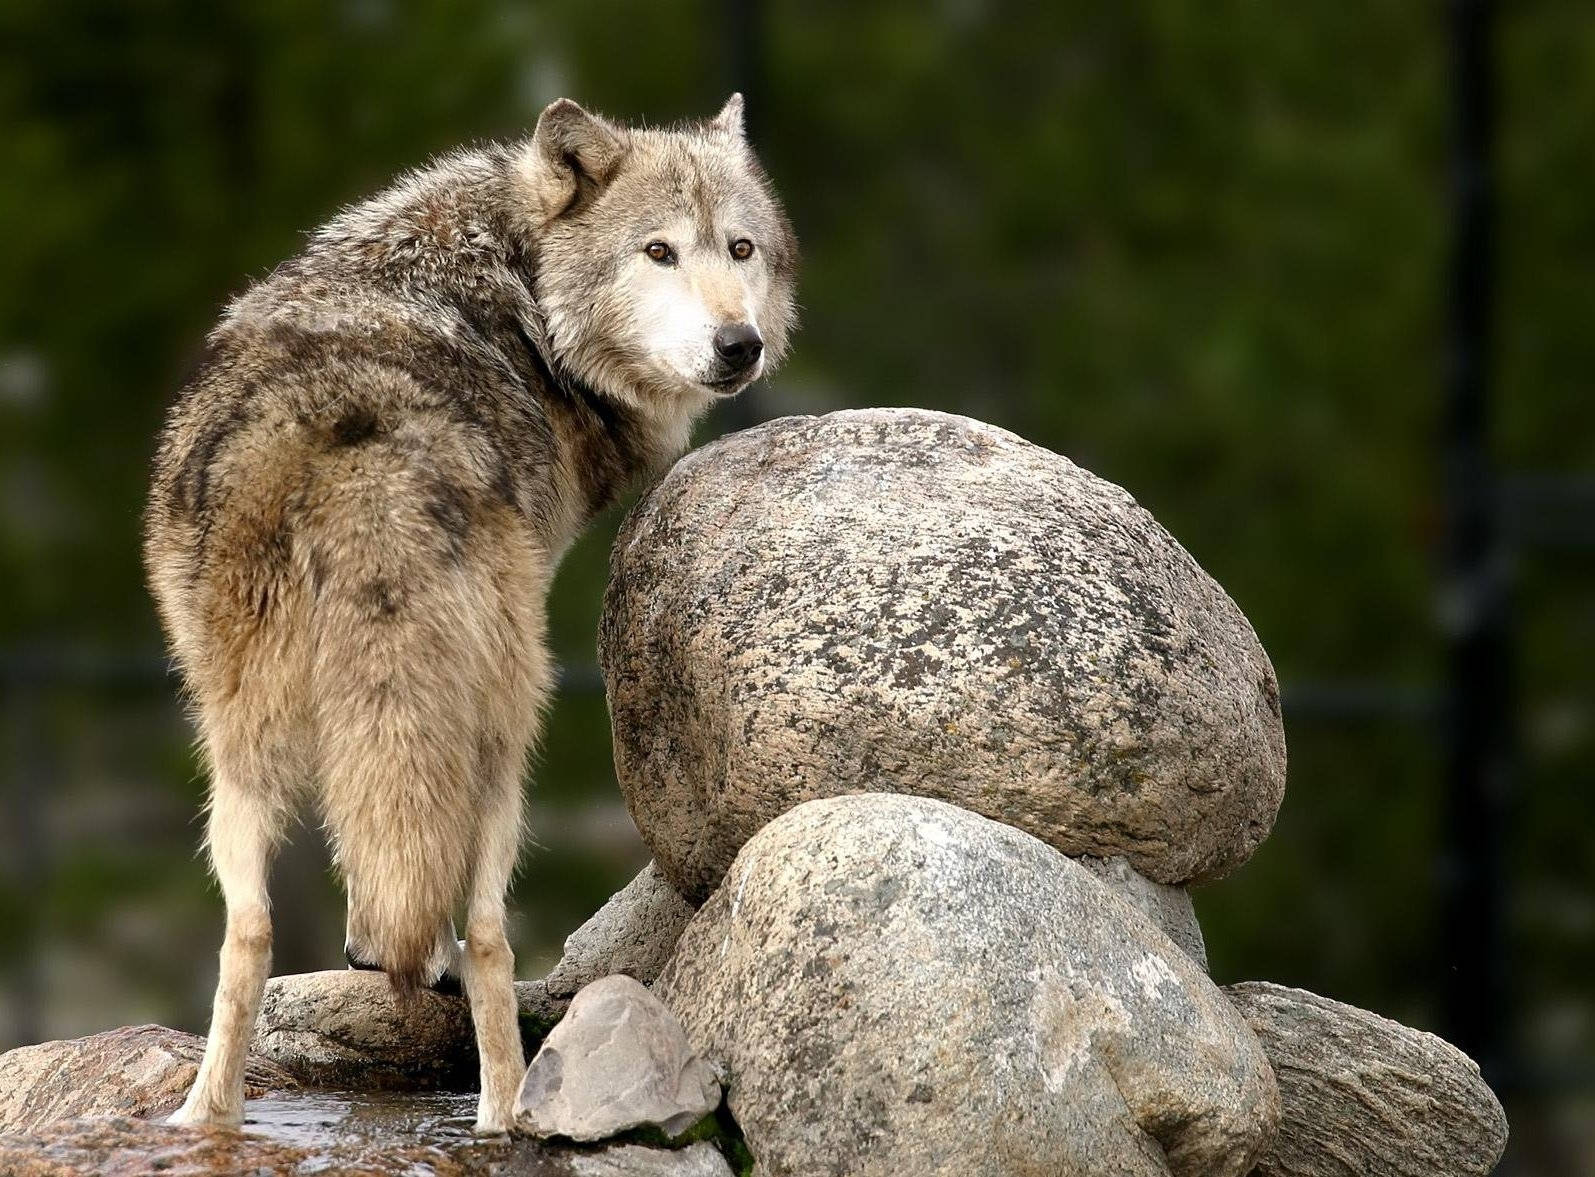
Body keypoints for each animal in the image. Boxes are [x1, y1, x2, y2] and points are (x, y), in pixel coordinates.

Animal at [143, 94, 797, 1133]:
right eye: (657, 251)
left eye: (740, 248)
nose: (739, 345)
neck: (520, 287)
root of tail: (365, 449)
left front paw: (373, 949)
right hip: (507, 730)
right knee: (489, 933)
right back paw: (504, 1113)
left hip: (235, 749)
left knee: (248, 935)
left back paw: (200, 1119)